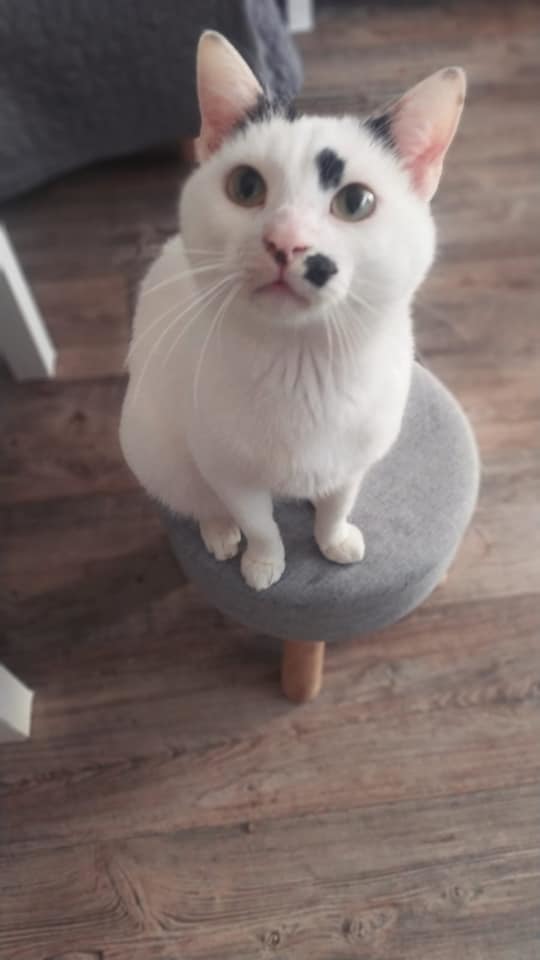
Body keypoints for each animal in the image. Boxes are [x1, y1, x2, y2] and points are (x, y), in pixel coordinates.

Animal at [120, 30, 466, 591]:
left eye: (356, 202)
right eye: (245, 187)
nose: (286, 242)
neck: (302, 366)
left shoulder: (354, 463)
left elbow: (338, 503)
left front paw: (334, 538)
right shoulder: (227, 471)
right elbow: (258, 522)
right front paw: (263, 563)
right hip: (155, 449)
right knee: (195, 499)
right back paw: (219, 532)